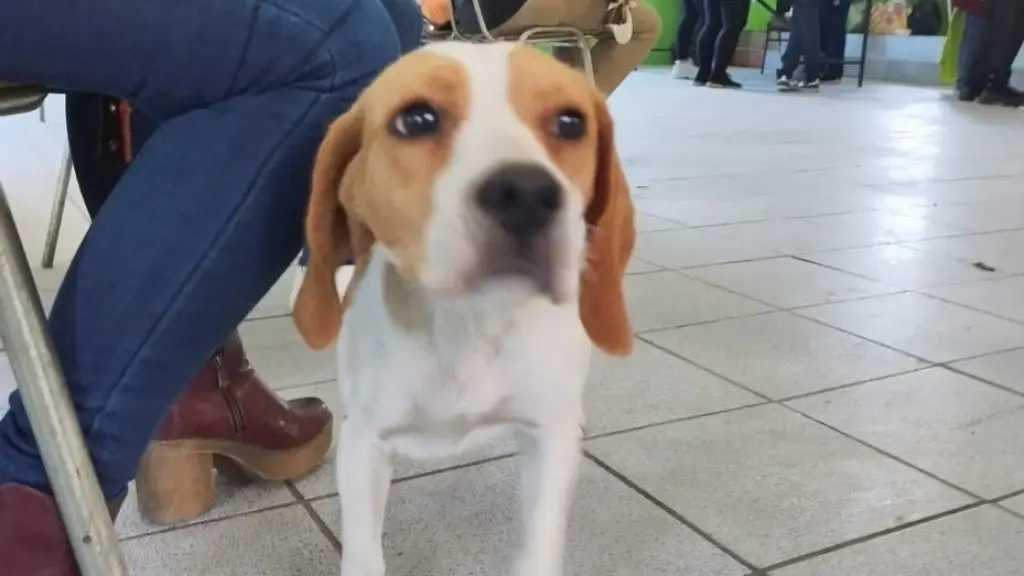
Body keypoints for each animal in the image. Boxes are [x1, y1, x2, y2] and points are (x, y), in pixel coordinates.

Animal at [292, 41, 634, 573]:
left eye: (570, 123)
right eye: (417, 119)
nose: (526, 193)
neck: (470, 323)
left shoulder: (547, 443)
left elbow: (537, 550)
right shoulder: (364, 446)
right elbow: (365, 556)